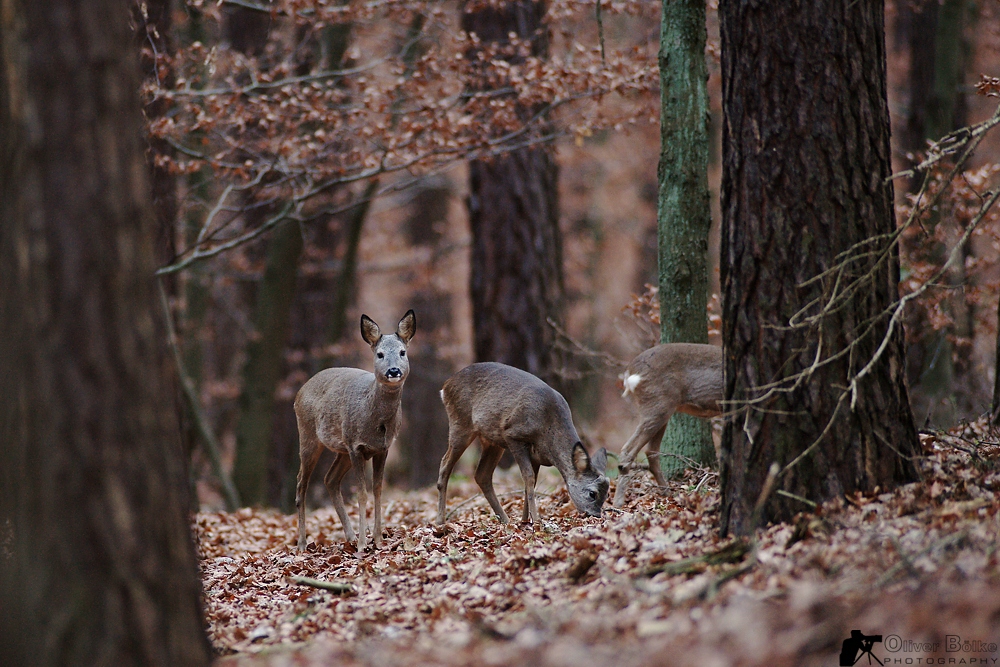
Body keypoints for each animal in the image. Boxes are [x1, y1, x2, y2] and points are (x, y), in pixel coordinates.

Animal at [292, 310, 414, 552]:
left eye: (402, 352)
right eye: (380, 354)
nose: (393, 370)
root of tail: (299, 393)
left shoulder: (382, 448)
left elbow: (378, 490)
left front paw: (378, 539)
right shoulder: (355, 446)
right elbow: (362, 494)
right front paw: (363, 544)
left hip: (341, 450)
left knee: (330, 479)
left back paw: (349, 536)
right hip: (309, 436)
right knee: (301, 483)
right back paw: (302, 543)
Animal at [438, 362, 608, 524]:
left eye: (606, 495)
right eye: (592, 493)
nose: (595, 515)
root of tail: (445, 386)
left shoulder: (537, 456)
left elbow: (531, 483)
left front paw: (525, 521)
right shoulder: (513, 435)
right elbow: (529, 477)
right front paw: (536, 520)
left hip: (491, 441)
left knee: (482, 475)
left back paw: (505, 520)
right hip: (461, 423)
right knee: (445, 465)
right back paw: (441, 521)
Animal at [612, 342, 724, 508]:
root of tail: (629, 374)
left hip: (661, 411)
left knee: (650, 451)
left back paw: (667, 492)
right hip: (657, 406)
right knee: (629, 449)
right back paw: (618, 502)